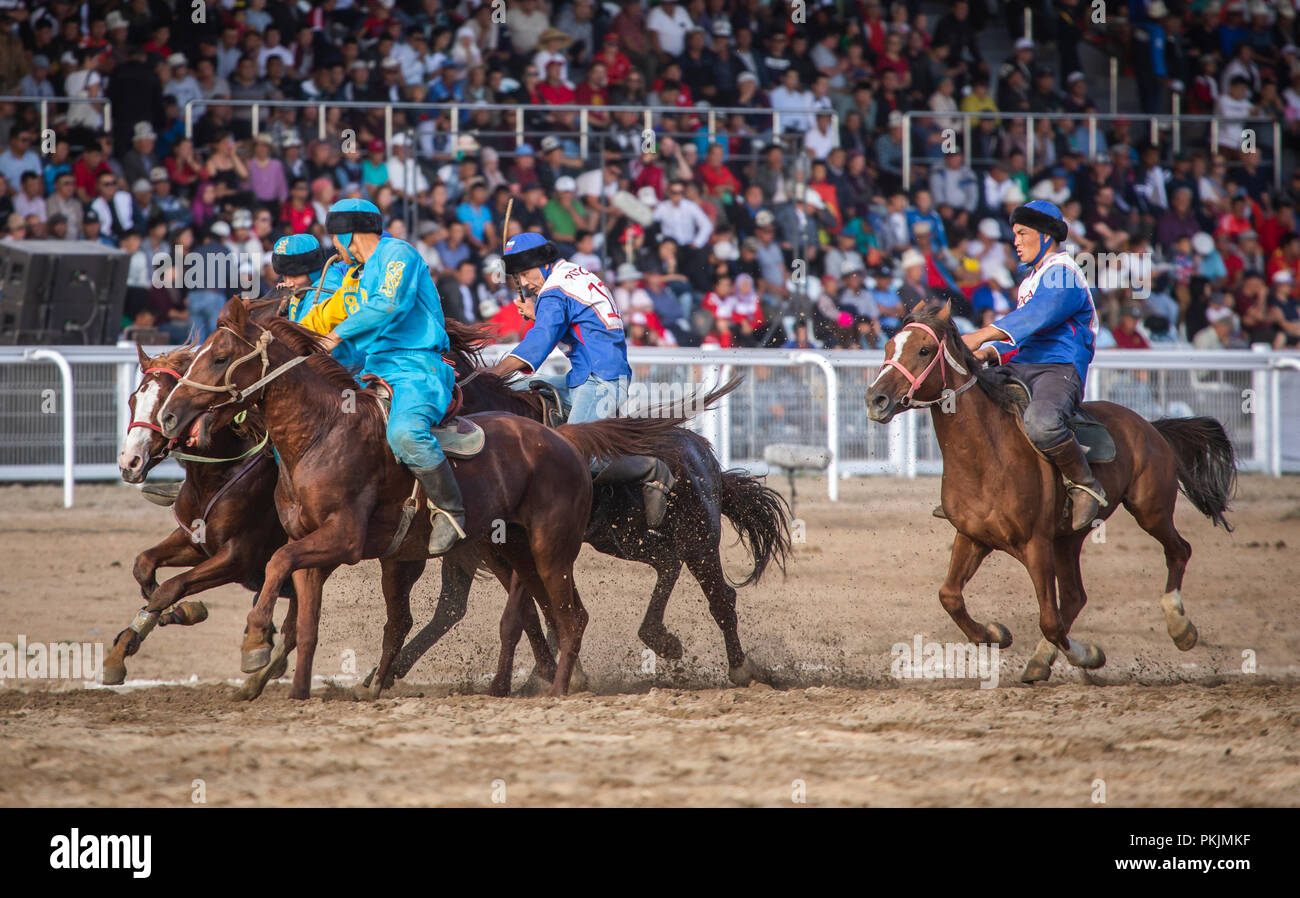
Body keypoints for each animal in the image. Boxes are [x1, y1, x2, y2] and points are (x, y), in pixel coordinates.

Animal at [154, 298, 691, 696]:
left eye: (220, 357)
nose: (169, 416)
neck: (322, 435)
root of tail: (563, 439)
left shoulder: (343, 540)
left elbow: (276, 564)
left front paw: (254, 642)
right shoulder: (314, 551)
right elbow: (303, 621)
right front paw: (295, 688)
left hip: (550, 547)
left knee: (570, 615)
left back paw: (560, 686)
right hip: (513, 548)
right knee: (549, 613)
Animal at [369, 319, 790, 691]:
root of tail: (702, 452)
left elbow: (524, 614)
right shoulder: (502, 548)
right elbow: (535, 612)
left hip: (698, 539)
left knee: (721, 597)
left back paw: (739, 668)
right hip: (627, 539)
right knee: (667, 563)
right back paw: (659, 636)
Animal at [868, 301, 1232, 680]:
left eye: (923, 350)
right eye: (888, 347)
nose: (875, 399)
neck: (988, 456)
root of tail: (1149, 426)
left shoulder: (1036, 544)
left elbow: (1050, 621)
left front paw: (1088, 656)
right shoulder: (972, 537)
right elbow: (949, 596)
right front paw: (995, 634)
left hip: (1150, 510)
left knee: (1178, 551)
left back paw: (1181, 627)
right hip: (1069, 538)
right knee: (1075, 596)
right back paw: (1042, 659)